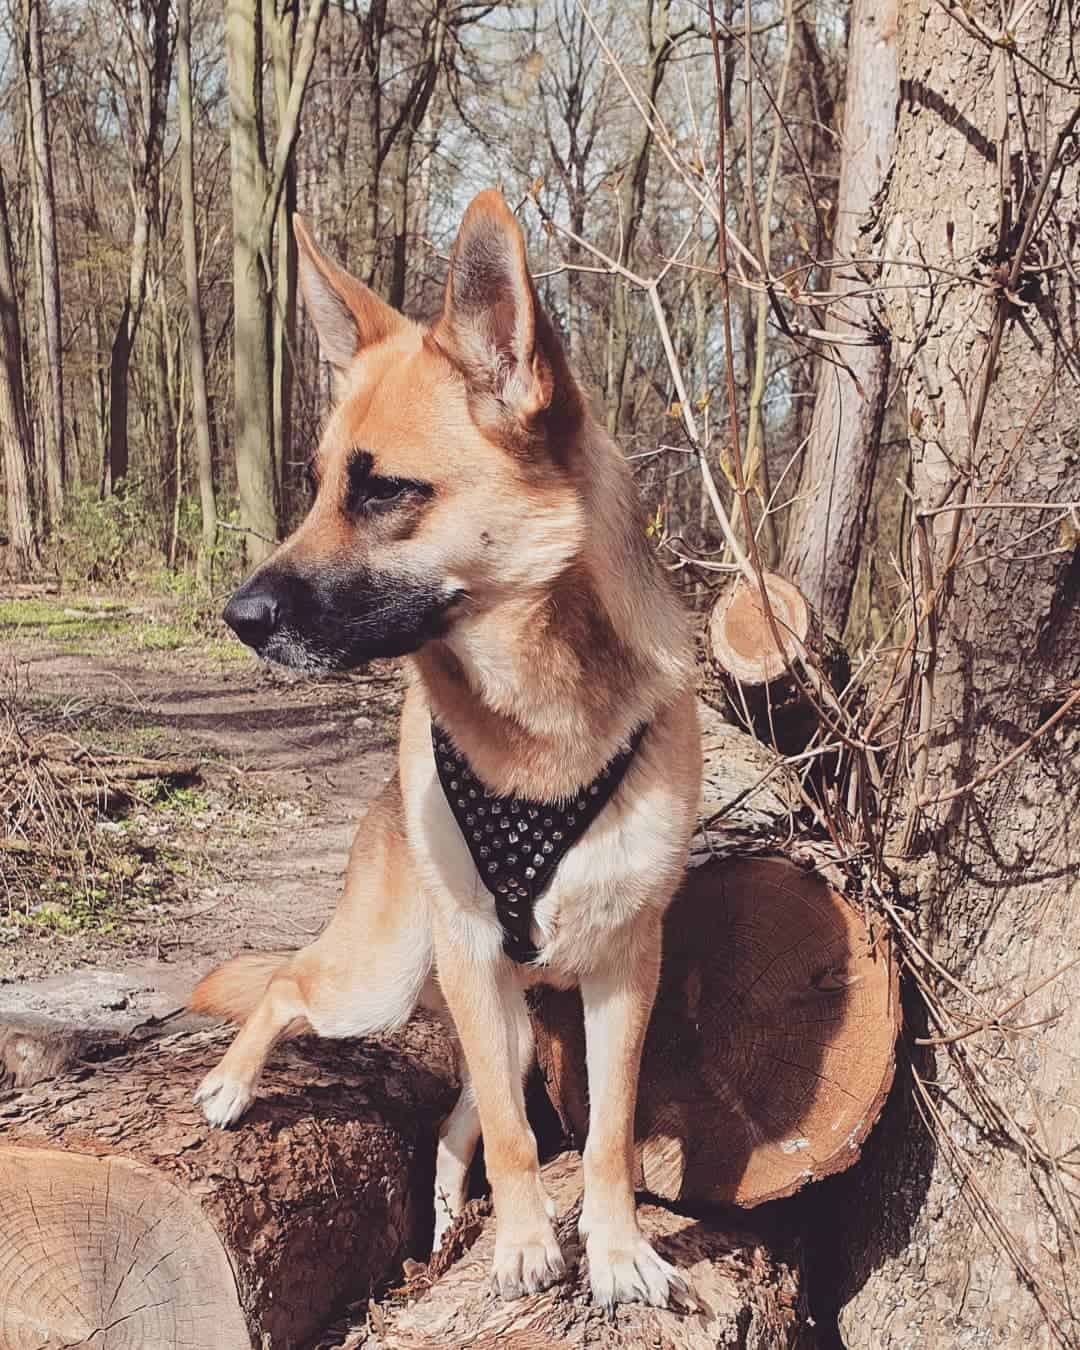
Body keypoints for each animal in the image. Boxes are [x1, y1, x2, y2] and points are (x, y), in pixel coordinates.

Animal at [189, 190, 702, 1306]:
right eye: (316, 484)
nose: (236, 618)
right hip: (382, 979)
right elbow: (519, 1138)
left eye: (384, 491)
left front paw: (616, 1248)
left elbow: (605, 1133)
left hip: (491, 1016)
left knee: (461, 1113)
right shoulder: (472, 954)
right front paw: (523, 1246)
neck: (539, 725)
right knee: (289, 985)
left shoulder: (626, 968)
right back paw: (234, 1084)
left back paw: (440, 1217)